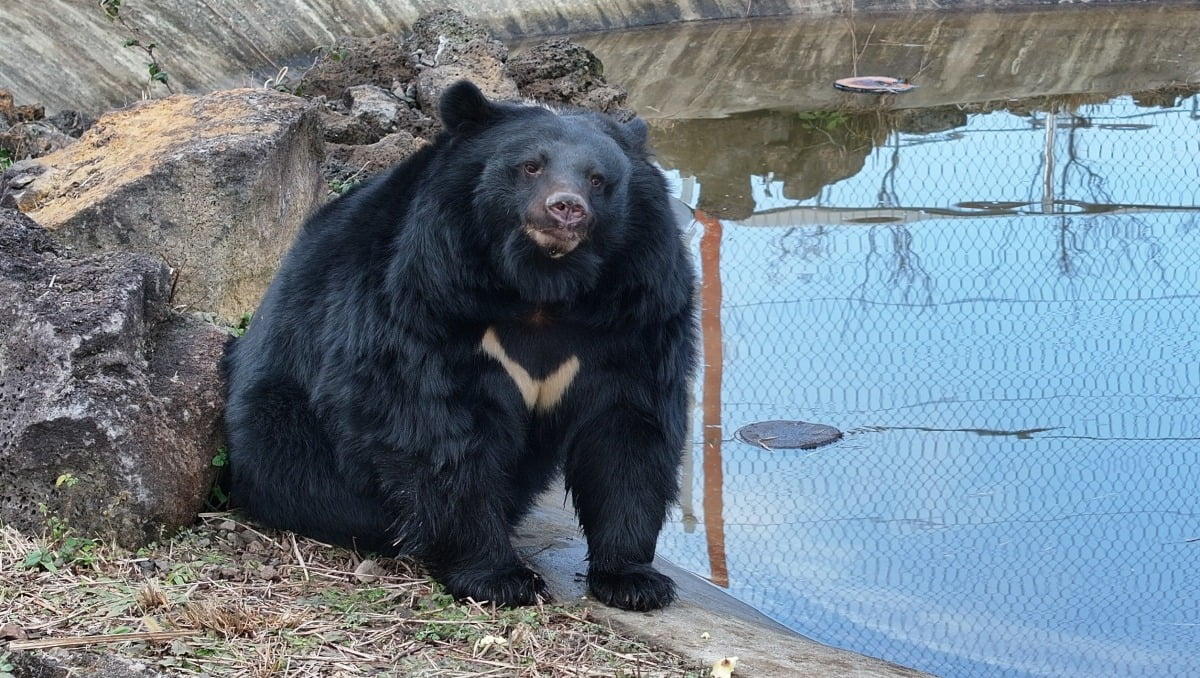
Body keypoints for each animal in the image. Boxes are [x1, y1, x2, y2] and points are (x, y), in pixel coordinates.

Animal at [222, 79, 700, 607]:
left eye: (598, 179)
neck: (542, 283)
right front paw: (500, 577)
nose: (566, 208)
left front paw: (633, 580)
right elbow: (437, 428)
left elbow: (627, 426)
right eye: (530, 166)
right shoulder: (427, 291)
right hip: (283, 425)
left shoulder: (637, 307)